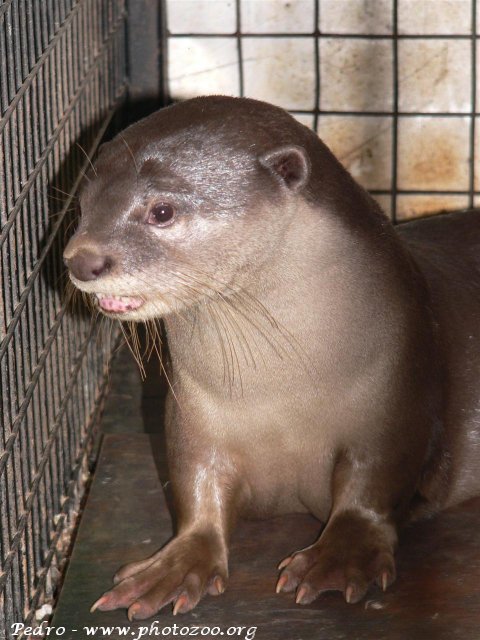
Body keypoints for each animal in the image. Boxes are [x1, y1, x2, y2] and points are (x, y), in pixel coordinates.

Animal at [63, 96, 480, 620]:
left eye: (161, 211)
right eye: (82, 205)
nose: (81, 260)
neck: (285, 397)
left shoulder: (399, 398)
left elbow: (373, 487)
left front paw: (340, 557)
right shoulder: (192, 416)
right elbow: (195, 484)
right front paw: (174, 565)